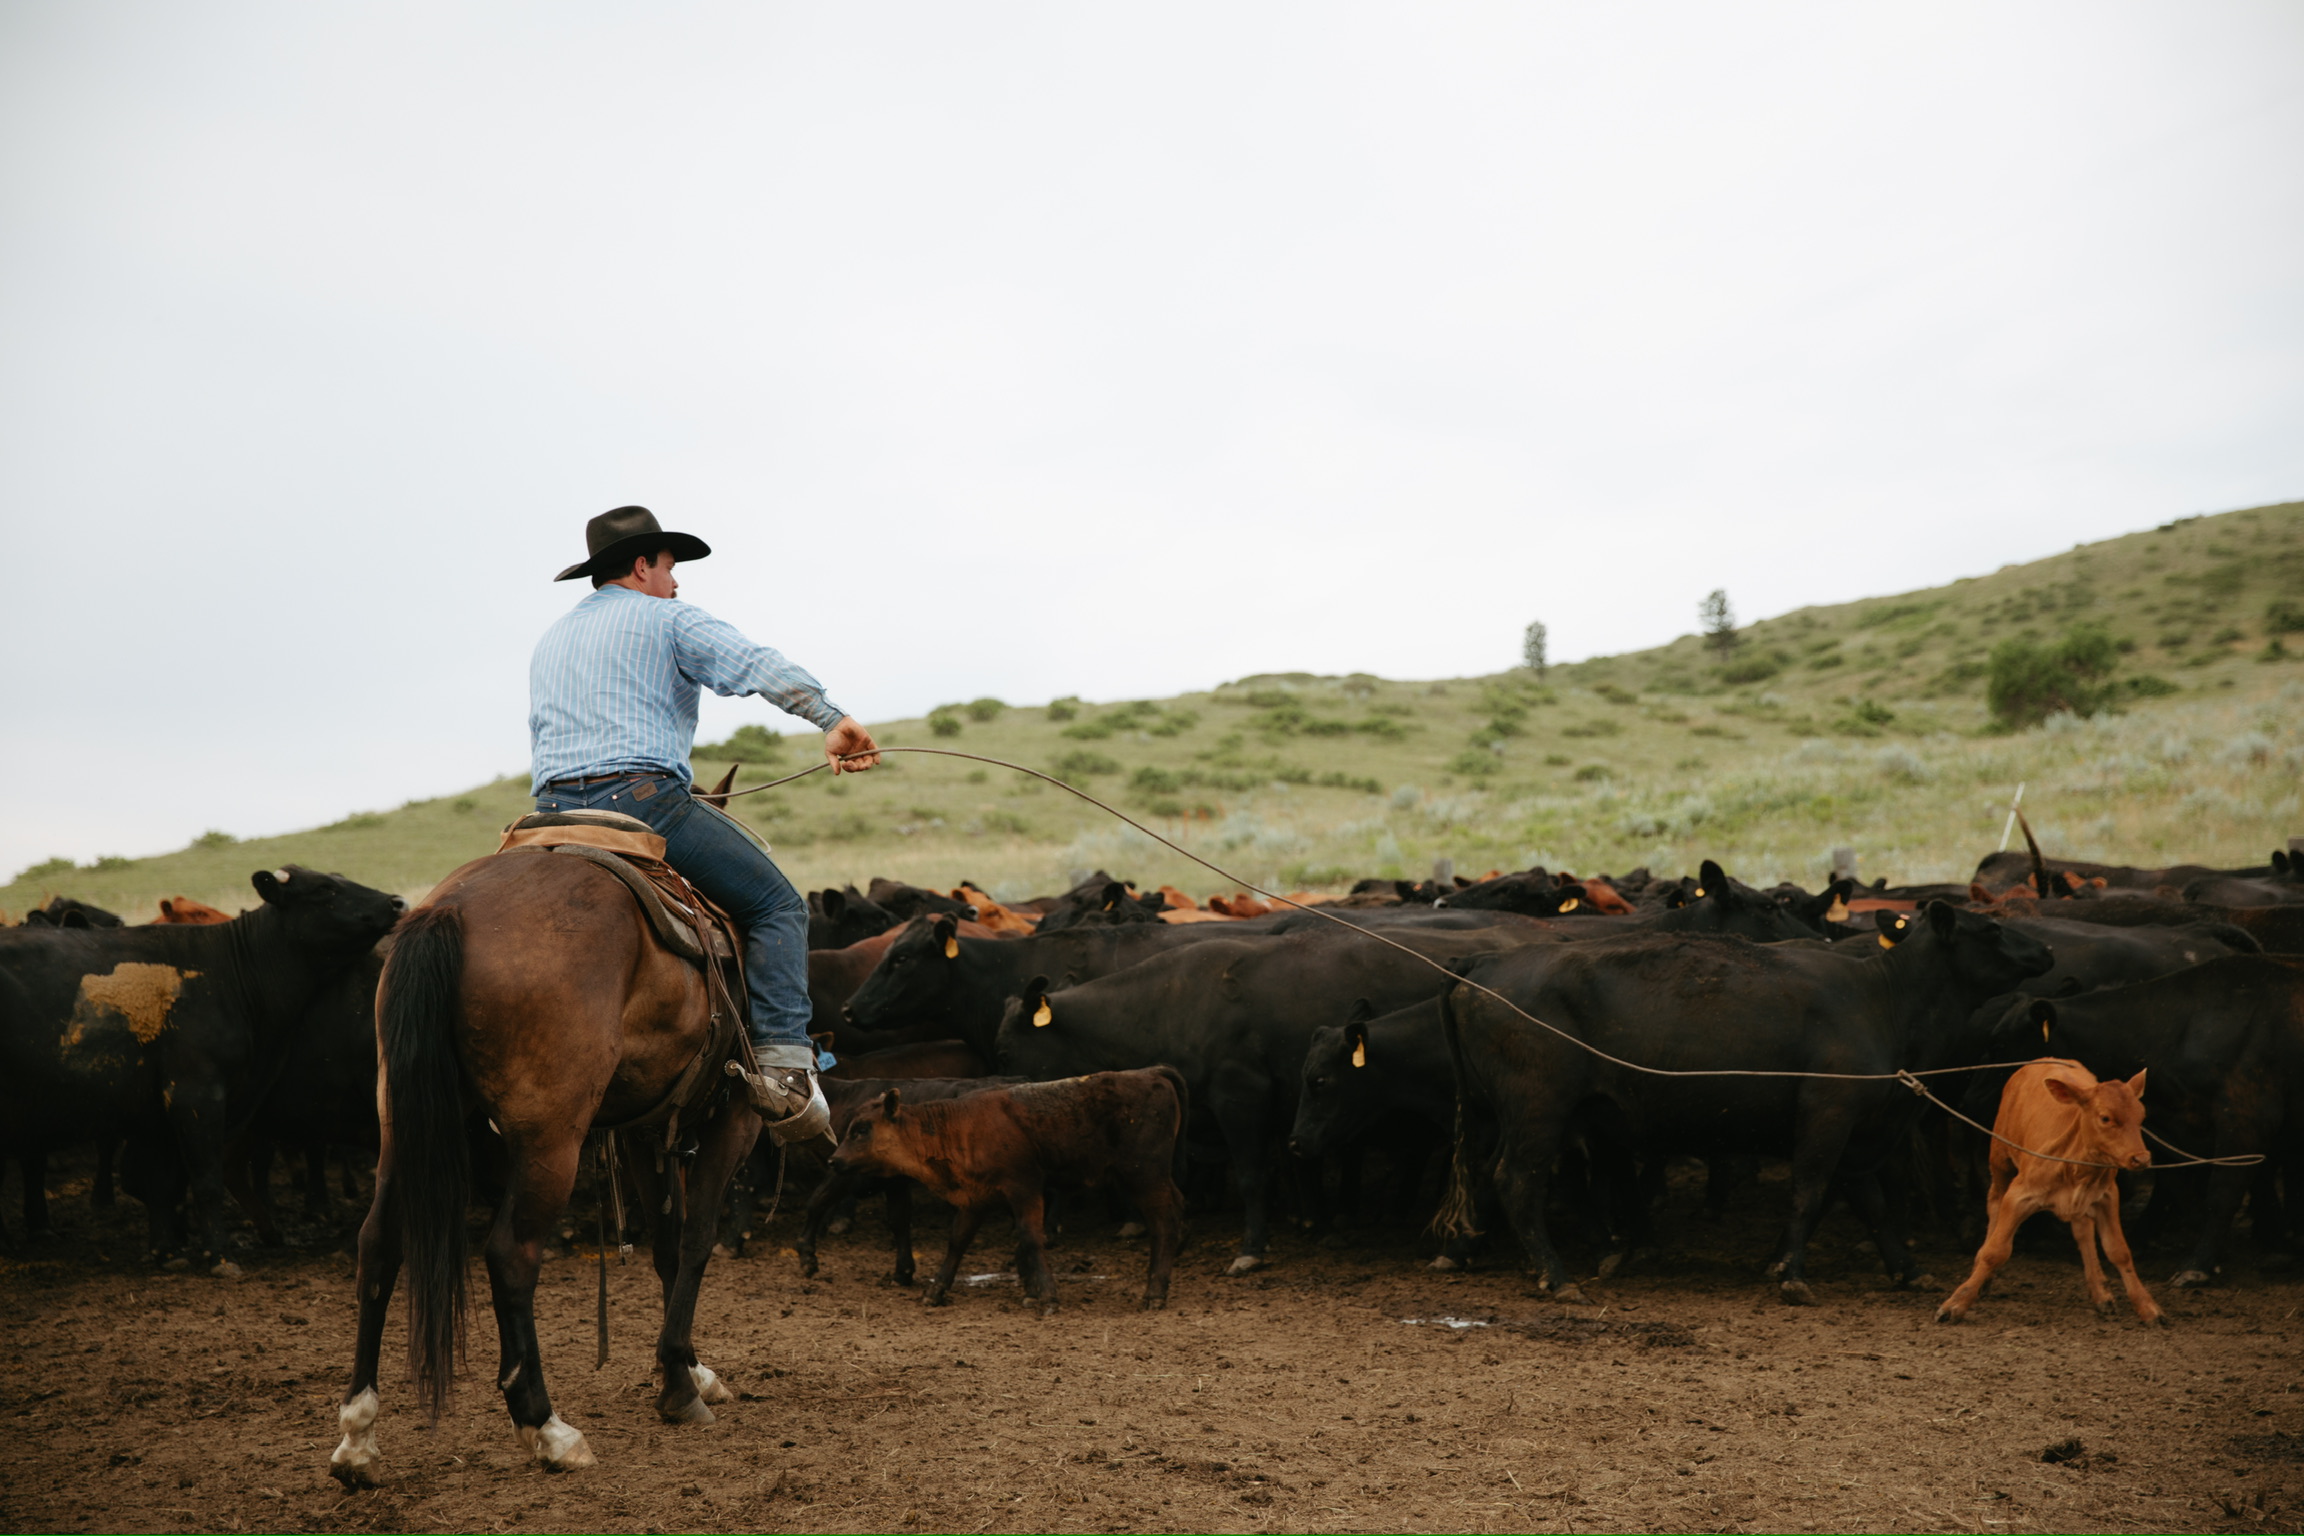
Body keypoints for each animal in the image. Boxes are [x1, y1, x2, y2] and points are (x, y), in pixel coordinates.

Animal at [0, 866, 403, 1273]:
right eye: (325, 888)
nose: (397, 902)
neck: (230, 971)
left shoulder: (160, 1113)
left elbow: (160, 1179)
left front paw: (166, 1250)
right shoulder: (194, 1094)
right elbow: (204, 1180)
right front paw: (219, 1255)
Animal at [329, 840, 759, 1485]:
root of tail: (449, 910)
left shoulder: (645, 1125)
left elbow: (666, 1244)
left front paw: (687, 1368)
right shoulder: (734, 1117)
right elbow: (696, 1239)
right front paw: (681, 1389)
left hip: (402, 1125)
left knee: (379, 1243)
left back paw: (358, 1437)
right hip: (550, 1142)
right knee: (511, 1256)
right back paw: (548, 1428)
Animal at [829, 1068, 1188, 1314]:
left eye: (862, 1129)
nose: (834, 1160)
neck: (958, 1127)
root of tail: (1151, 1073)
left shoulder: (1023, 1188)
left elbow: (1030, 1237)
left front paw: (1047, 1296)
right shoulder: (974, 1198)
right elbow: (957, 1241)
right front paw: (935, 1291)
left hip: (1145, 1175)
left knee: (1164, 1223)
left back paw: (1154, 1293)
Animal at [1437, 902, 2053, 1304]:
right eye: (1992, 927)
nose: (2046, 948)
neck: (1884, 1000)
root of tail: (1484, 964)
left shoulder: (1858, 1132)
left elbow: (1869, 1202)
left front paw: (1906, 1269)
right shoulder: (1828, 1112)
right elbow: (1809, 1190)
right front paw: (1791, 1274)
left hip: (1504, 1115)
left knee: (1485, 1177)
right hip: (1538, 1110)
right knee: (1517, 1181)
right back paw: (1557, 1277)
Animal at [1934, 1059, 2162, 1326]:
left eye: (2141, 1116)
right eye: (2105, 1118)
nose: (2141, 1158)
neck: (2075, 1164)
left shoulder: (2107, 1196)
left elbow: (2119, 1252)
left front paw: (2147, 1307)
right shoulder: (2019, 1195)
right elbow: (1996, 1251)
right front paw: (1956, 1303)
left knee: (2083, 1231)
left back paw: (2100, 1291)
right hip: (2000, 1160)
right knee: (1994, 1203)